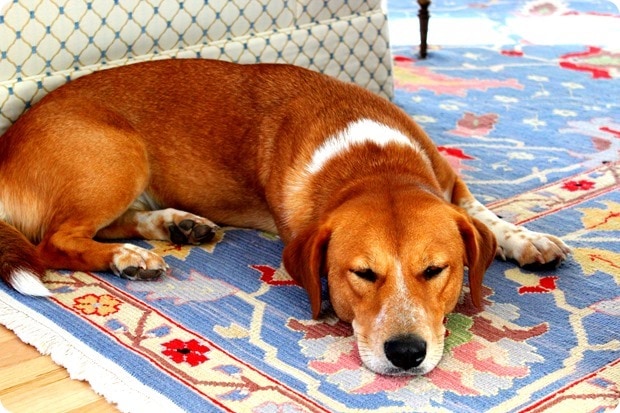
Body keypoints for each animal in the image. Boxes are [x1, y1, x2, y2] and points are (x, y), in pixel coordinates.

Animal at [0, 59, 570, 376]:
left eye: (435, 270)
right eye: (362, 274)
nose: (406, 353)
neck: (373, 164)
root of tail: (7, 147)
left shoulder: (452, 185)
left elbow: (485, 219)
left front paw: (527, 239)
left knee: (109, 223)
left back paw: (174, 225)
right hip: (119, 155)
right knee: (57, 240)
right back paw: (127, 257)